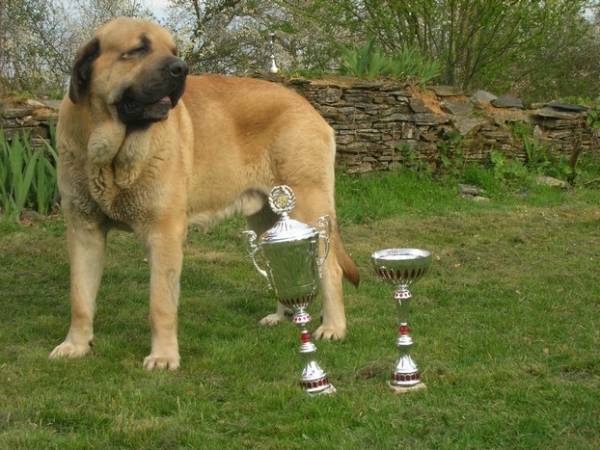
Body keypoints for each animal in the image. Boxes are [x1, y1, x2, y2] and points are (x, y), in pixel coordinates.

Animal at [49, 16, 358, 370]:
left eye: (173, 51)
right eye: (138, 49)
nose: (180, 68)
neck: (112, 156)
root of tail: (308, 106)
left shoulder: (164, 233)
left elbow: (160, 304)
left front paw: (163, 356)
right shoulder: (84, 230)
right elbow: (80, 298)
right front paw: (75, 345)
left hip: (306, 204)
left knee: (330, 268)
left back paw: (333, 327)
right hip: (267, 218)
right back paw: (284, 316)